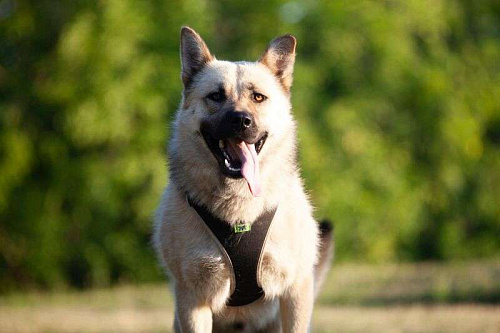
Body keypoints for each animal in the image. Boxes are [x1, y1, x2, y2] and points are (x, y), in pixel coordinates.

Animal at [152, 26, 332, 332]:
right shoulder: (192, 299)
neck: (239, 213)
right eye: (216, 96)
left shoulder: (296, 289)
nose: (241, 120)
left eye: (258, 97)